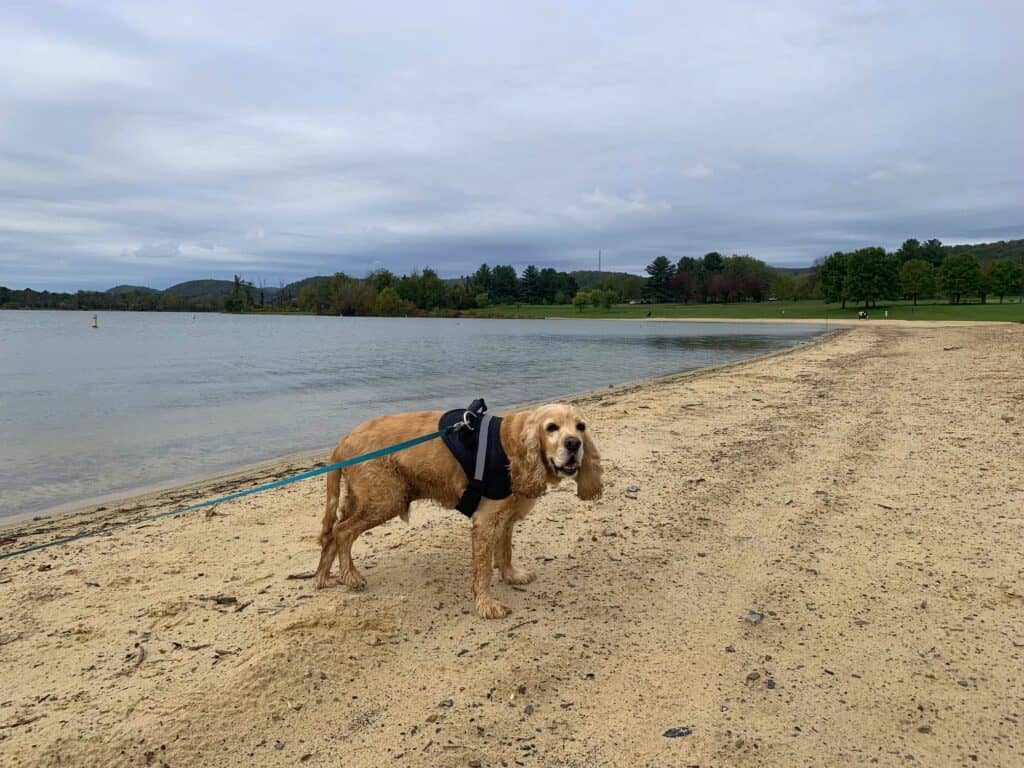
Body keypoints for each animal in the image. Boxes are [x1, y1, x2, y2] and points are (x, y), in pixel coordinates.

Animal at [311, 403, 598, 618]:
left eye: (581, 426)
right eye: (551, 427)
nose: (574, 444)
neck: (516, 445)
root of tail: (342, 443)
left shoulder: (505, 518)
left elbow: (505, 551)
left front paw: (511, 575)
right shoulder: (485, 520)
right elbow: (483, 569)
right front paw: (486, 605)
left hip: (361, 498)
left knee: (332, 535)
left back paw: (323, 578)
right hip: (385, 499)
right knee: (343, 531)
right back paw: (351, 577)